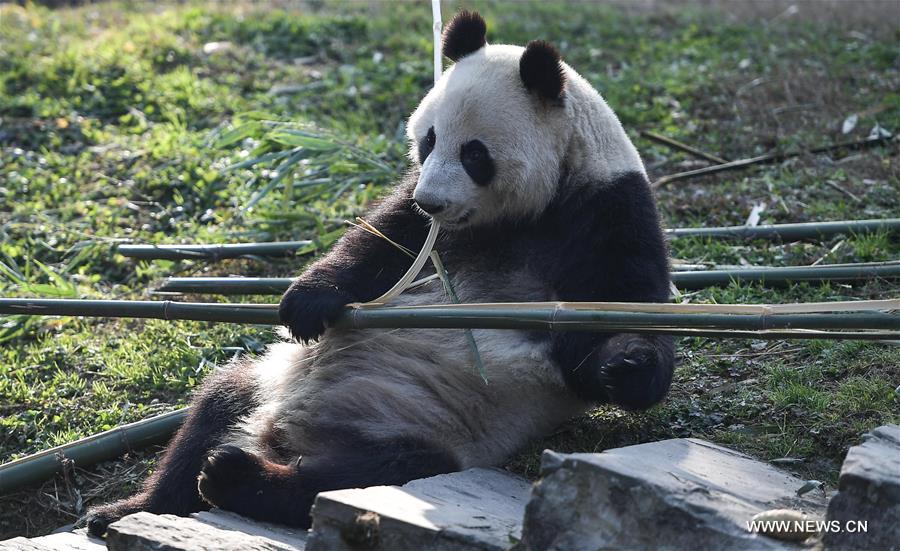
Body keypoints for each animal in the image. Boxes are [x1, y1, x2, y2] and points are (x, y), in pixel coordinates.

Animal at [85, 10, 673, 534]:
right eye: (429, 139)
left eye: (475, 153)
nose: (432, 200)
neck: (531, 208)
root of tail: (284, 436)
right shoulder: (420, 220)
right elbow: (375, 248)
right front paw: (306, 304)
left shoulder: (608, 214)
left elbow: (617, 318)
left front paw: (628, 362)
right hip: (268, 383)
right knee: (214, 406)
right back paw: (131, 507)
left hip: (432, 431)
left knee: (363, 477)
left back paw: (237, 477)